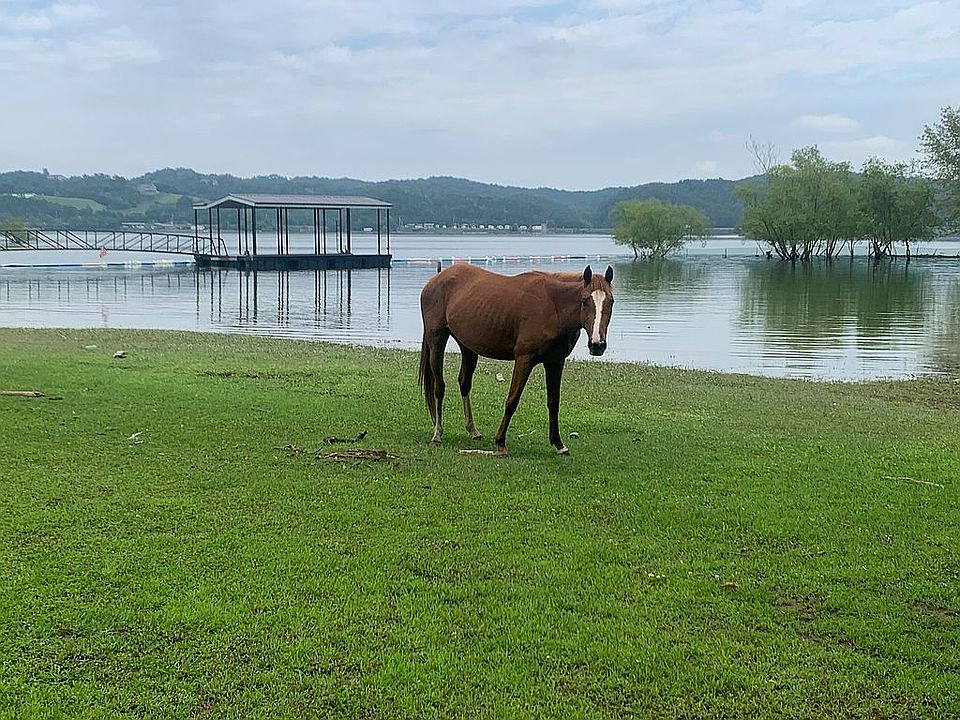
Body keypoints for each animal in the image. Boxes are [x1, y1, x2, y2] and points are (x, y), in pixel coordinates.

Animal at [418, 263, 615, 455]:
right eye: (584, 300)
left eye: (611, 301)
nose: (597, 344)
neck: (553, 305)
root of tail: (434, 280)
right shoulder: (524, 360)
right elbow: (512, 400)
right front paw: (500, 442)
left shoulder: (555, 362)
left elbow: (553, 402)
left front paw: (558, 444)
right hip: (437, 341)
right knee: (439, 387)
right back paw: (437, 433)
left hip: (467, 347)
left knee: (464, 383)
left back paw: (472, 430)